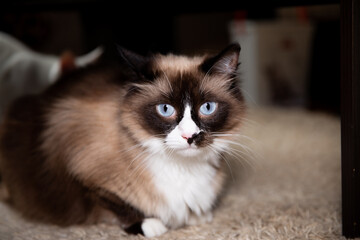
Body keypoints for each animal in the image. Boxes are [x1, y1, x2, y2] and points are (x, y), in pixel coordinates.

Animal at [0, 42, 245, 237]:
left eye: (207, 108)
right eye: (165, 109)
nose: (189, 136)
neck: (183, 167)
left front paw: (198, 215)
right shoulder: (81, 172)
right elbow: (116, 205)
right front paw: (150, 225)